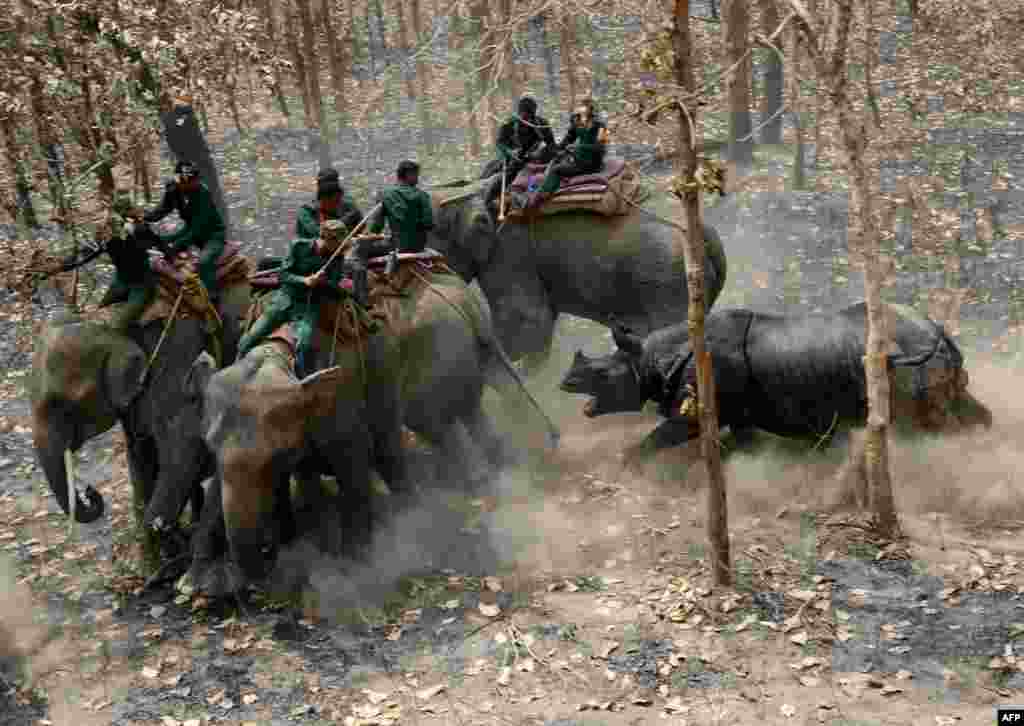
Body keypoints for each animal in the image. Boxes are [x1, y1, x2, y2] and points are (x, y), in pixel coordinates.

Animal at [29, 236, 253, 573]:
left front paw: (170, 544)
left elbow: (183, 446)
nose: (90, 492)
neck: (114, 327)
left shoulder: (175, 356)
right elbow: (142, 454)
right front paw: (158, 561)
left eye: (62, 406)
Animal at [557, 299, 995, 464]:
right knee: (963, 408)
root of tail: (938, 331)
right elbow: (743, 444)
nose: (565, 382)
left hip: (907, 362)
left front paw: (627, 466)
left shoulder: (698, 410)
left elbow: (659, 437)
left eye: (602, 374)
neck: (650, 357)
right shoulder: (739, 413)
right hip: (927, 357)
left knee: (925, 423)